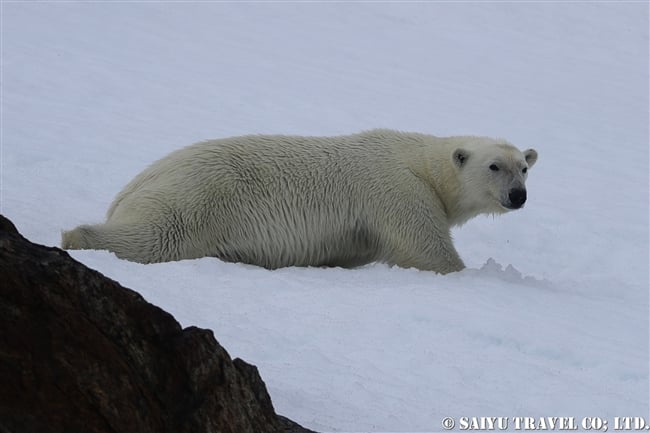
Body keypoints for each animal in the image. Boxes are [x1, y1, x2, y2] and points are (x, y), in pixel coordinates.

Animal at [62, 128, 536, 274]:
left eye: (525, 167)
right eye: (495, 166)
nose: (518, 196)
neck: (419, 160)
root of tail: (135, 183)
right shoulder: (398, 190)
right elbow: (426, 249)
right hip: (197, 196)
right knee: (158, 237)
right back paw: (77, 236)